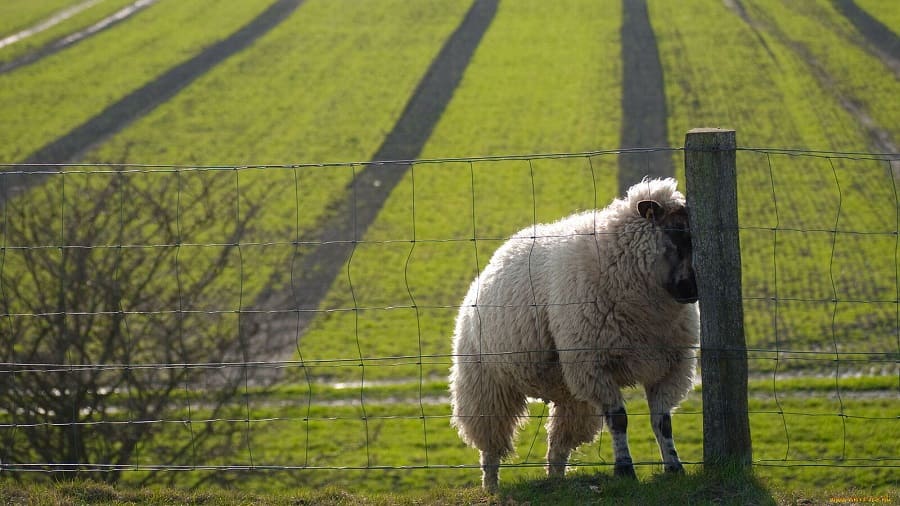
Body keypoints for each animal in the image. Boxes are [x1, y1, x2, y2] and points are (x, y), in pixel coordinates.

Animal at [450, 177, 704, 490]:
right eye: (676, 232)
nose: (693, 290)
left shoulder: (670, 367)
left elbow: (662, 422)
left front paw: (674, 467)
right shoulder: (595, 364)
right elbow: (619, 420)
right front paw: (624, 470)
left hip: (569, 392)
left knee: (559, 444)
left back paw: (556, 479)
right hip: (485, 385)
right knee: (490, 444)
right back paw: (491, 486)